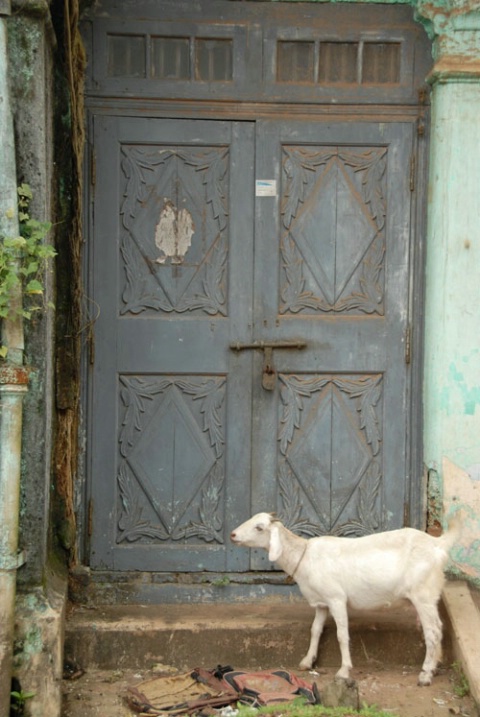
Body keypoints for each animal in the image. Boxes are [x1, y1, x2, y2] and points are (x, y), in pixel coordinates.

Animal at [231, 512, 460, 684]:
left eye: (259, 527)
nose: (232, 534)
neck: (304, 556)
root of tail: (438, 544)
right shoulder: (321, 603)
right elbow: (315, 630)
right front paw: (307, 661)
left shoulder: (336, 599)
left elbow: (342, 635)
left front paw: (344, 671)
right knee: (438, 628)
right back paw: (434, 666)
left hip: (423, 595)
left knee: (433, 631)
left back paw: (426, 674)